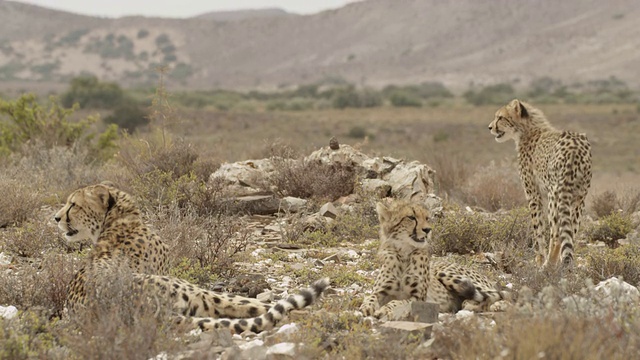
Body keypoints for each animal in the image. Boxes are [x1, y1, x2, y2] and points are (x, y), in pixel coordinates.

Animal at [362, 198, 508, 320]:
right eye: (411, 217)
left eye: (427, 218)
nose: (428, 230)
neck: (404, 253)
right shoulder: (381, 291)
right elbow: (370, 297)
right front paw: (365, 307)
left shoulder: (419, 298)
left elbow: (398, 302)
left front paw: (384, 309)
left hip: (449, 275)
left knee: (502, 295)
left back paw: (496, 305)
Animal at [490, 98, 592, 268]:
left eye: (500, 117)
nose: (490, 127)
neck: (527, 130)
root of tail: (575, 147)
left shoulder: (533, 195)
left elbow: (538, 229)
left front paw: (539, 260)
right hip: (579, 198)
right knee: (571, 231)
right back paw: (562, 262)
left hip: (555, 196)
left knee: (556, 233)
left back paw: (549, 264)